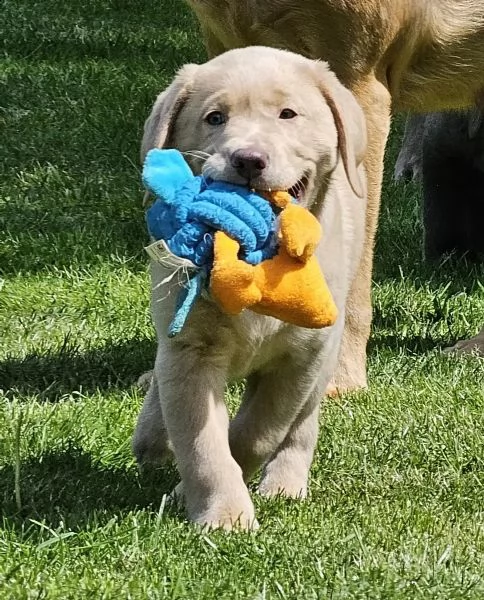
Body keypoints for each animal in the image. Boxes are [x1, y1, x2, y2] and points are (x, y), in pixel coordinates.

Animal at [132, 47, 366, 528]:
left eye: (288, 114)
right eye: (215, 118)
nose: (249, 160)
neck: (256, 265)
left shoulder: (301, 358)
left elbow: (259, 430)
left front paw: (210, 493)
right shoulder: (190, 351)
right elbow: (202, 443)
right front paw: (224, 515)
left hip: (324, 358)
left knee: (302, 426)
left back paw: (285, 483)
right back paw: (151, 434)